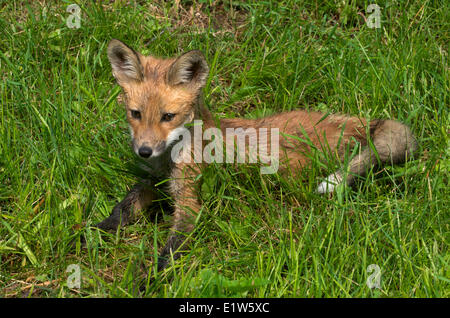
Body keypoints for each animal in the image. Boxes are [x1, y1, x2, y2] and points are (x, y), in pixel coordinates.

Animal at [95, 39, 418, 274]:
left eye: (168, 117)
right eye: (135, 114)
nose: (144, 150)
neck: (169, 158)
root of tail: (357, 122)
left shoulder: (189, 201)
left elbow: (169, 252)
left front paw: (150, 280)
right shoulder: (152, 182)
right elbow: (122, 209)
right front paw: (95, 233)